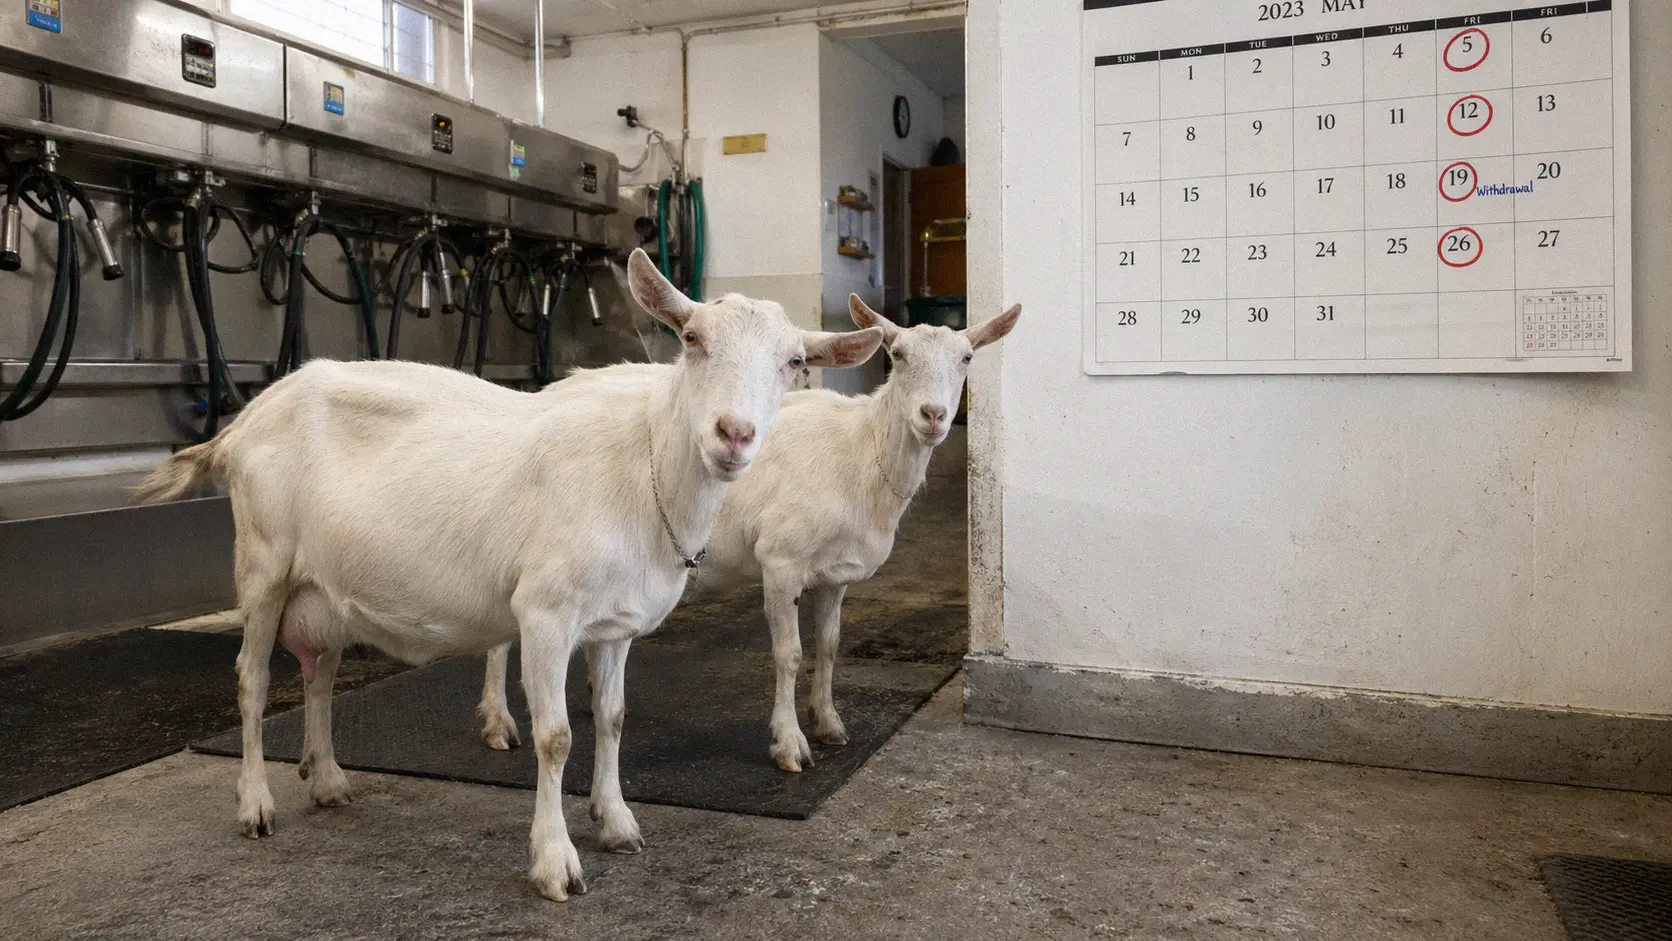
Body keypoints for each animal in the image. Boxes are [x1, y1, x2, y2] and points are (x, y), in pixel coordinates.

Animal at [133, 248, 883, 901]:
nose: (734, 435)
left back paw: (329, 780)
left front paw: (616, 822)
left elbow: (612, 717)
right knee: (252, 680)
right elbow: (557, 736)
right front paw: (555, 862)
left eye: (794, 362)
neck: (640, 466)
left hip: (325, 588)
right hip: (264, 564)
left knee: (317, 675)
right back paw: (256, 803)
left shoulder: (615, 624)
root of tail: (244, 422)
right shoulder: (546, 613)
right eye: (692, 338)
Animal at [477, 296, 1020, 772]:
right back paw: (498, 722)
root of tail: (551, 388)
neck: (861, 452)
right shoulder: (781, 559)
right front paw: (790, 744)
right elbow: (789, 653)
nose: (934, 416)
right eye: (898, 354)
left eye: (967, 358)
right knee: (499, 634)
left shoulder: (835, 574)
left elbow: (829, 645)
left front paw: (829, 722)